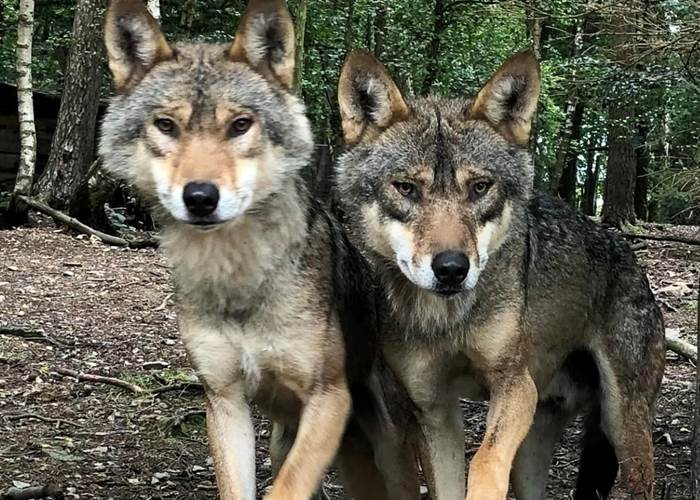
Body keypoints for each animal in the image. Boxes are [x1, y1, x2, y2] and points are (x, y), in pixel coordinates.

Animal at [98, 1, 420, 499]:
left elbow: (285, 490)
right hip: (284, 440)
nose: (200, 197)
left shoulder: (329, 398)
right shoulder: (225, 401)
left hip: (385, 446)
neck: (239, 278)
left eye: (240, 125)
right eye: (166, 125)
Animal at [334, 49, 666, 500]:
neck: (449, 320)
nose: (452, 268)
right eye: (406, 188)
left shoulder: (514, 385)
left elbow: (486, 458)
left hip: (622, 426)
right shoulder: (433, 411)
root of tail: (629, 255)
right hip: (534, 451)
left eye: (480, 187)